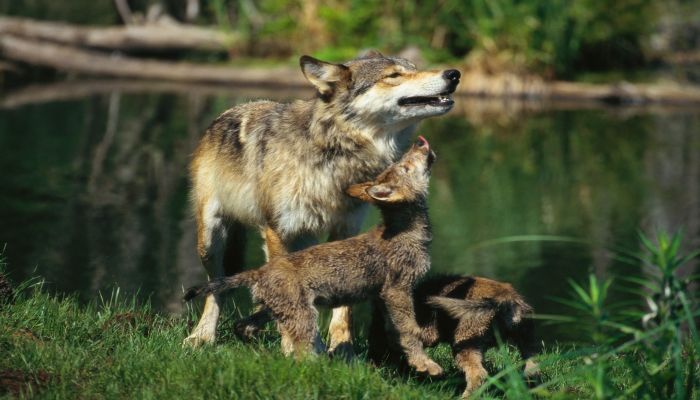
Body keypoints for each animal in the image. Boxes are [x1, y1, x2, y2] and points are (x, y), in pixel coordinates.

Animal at [185, 49, 460, 350]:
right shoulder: (278, 230)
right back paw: (202, 335)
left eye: (414, 67)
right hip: (210, 238)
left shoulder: (346, 230)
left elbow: (344, 308)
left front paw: (343, 349)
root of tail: (227, 113)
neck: (335, 152)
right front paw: (291, 347)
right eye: (394, 75)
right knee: (217, 288)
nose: (454, 74)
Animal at [186, 139, 442, 376]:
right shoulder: (397, 290)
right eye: (405, 167)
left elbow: (396, 332)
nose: (419, 142)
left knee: (243, 326)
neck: (405, 229)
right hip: (303, 316)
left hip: (276, 309)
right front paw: (428, 365)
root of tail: (258, 272)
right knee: (300, 353)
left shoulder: (382, 296)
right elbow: (409, 330)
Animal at [370, 276, 540, 396]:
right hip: (527, 344)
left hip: (464, 346)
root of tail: (506, 299)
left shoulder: (426, 333)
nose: (375, 364)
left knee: (478, 375)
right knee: (533, 370)